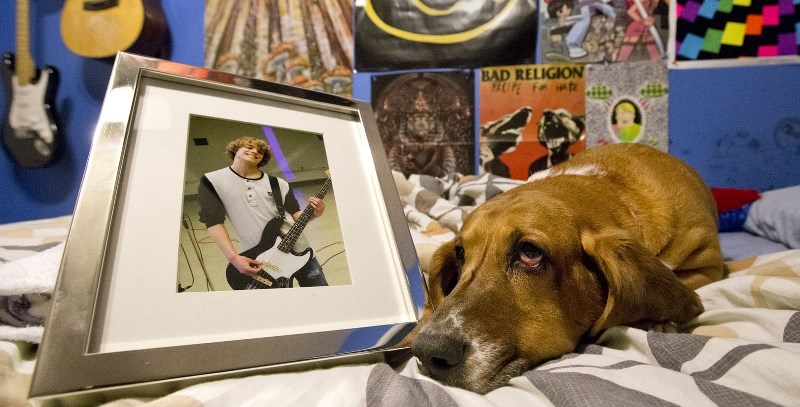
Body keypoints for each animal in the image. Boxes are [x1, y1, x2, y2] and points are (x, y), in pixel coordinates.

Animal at [406, 143, 724, 396]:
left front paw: (658, 323)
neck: (611, 191)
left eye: (530, 253)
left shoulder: (709, 265)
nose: (428, 351)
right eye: (460, 254)